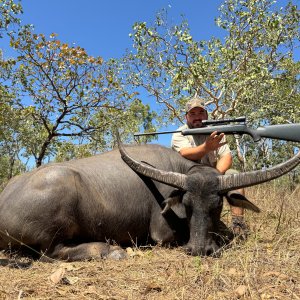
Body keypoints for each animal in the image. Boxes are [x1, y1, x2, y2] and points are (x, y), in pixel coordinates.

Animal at [0, 142, 298, 262]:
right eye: (187, 205)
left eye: (218, 206)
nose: (199, 249)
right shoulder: (162, 234)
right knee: (51, 253)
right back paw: (112, 251)